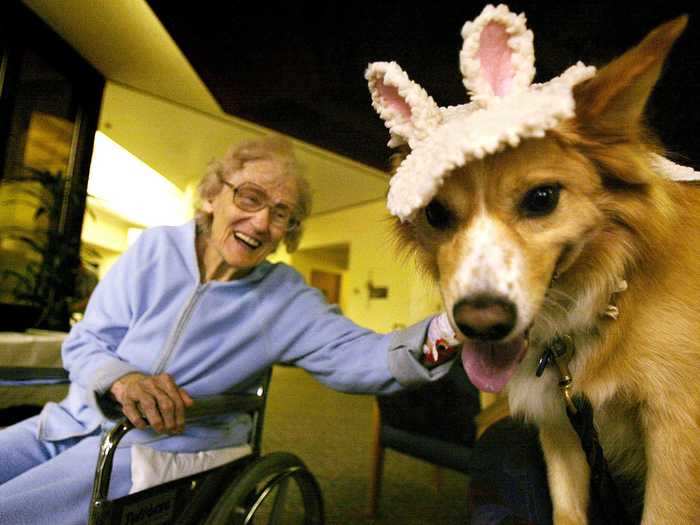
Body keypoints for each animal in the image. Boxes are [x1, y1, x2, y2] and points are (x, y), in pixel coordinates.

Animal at [366, 5, 700, 524]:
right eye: (436, 213)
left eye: (542, 198)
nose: (480, 324)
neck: (612, 298)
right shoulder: (561, 424)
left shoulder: (677, 432)